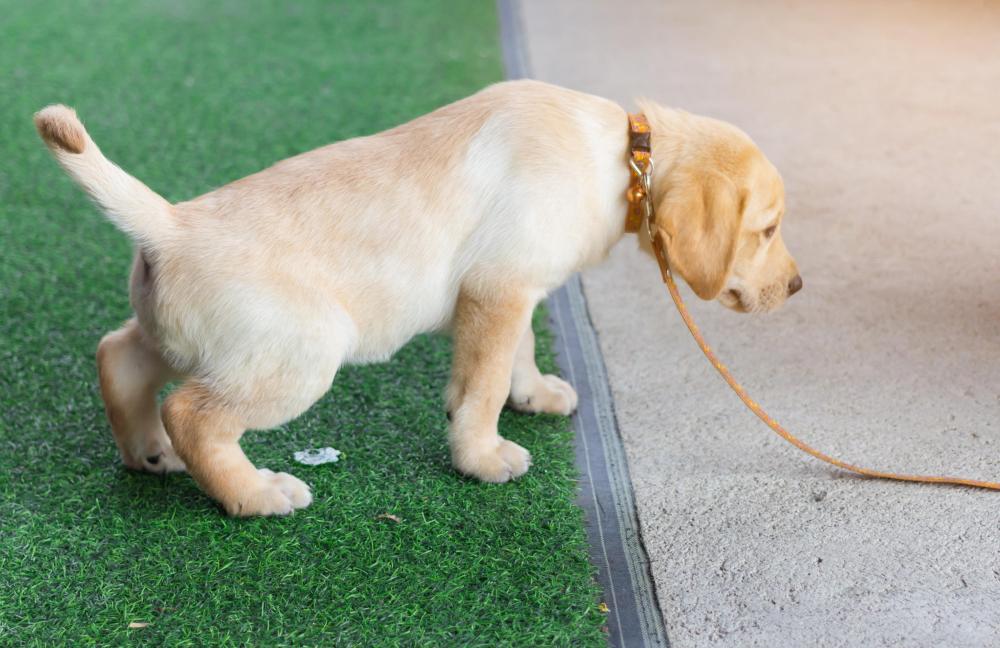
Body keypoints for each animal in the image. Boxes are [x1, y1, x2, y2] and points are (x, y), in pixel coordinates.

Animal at [35, 79, 800, 516]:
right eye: (767, 229)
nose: (797, 286)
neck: (624, 157)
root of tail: (169, 224)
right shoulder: (499, 288)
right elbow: (482, 384)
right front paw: (482, 456)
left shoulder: (509, 289)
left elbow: (515, 354)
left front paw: (532, 395)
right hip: (298, 355)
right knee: (195, 414)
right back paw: (256, 494)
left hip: (183, 335)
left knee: (119, 356)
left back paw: (147, 453)